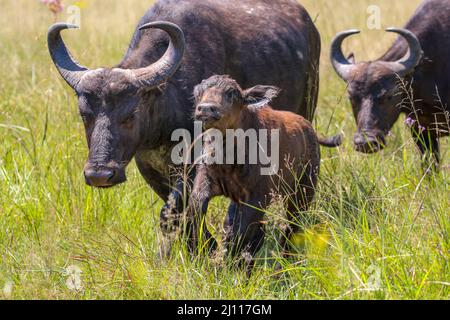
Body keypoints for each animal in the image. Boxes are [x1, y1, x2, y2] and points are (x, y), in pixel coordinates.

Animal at [47, 0, 334, 248]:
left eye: (130, 115)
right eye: (84, 114)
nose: (100, 174)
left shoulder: (194, 164)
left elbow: (175, 212)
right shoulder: (150, 168)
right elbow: (181, 212)